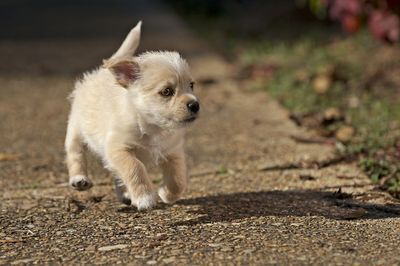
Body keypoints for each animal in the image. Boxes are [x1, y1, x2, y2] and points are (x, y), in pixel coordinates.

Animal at [64, 21, 200, 210]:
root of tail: (100, 72)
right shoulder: (118, 149)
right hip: (76, 130)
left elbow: (178, 179)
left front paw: (167, 194)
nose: (195, 104)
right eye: (166, 91)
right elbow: (134, 168)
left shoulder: (173, 152)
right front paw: (145, 197)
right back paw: (79, 179)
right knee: (76, 154)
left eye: (191, 85)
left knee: (116, 174)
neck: (153, 128)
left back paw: (126, 195)